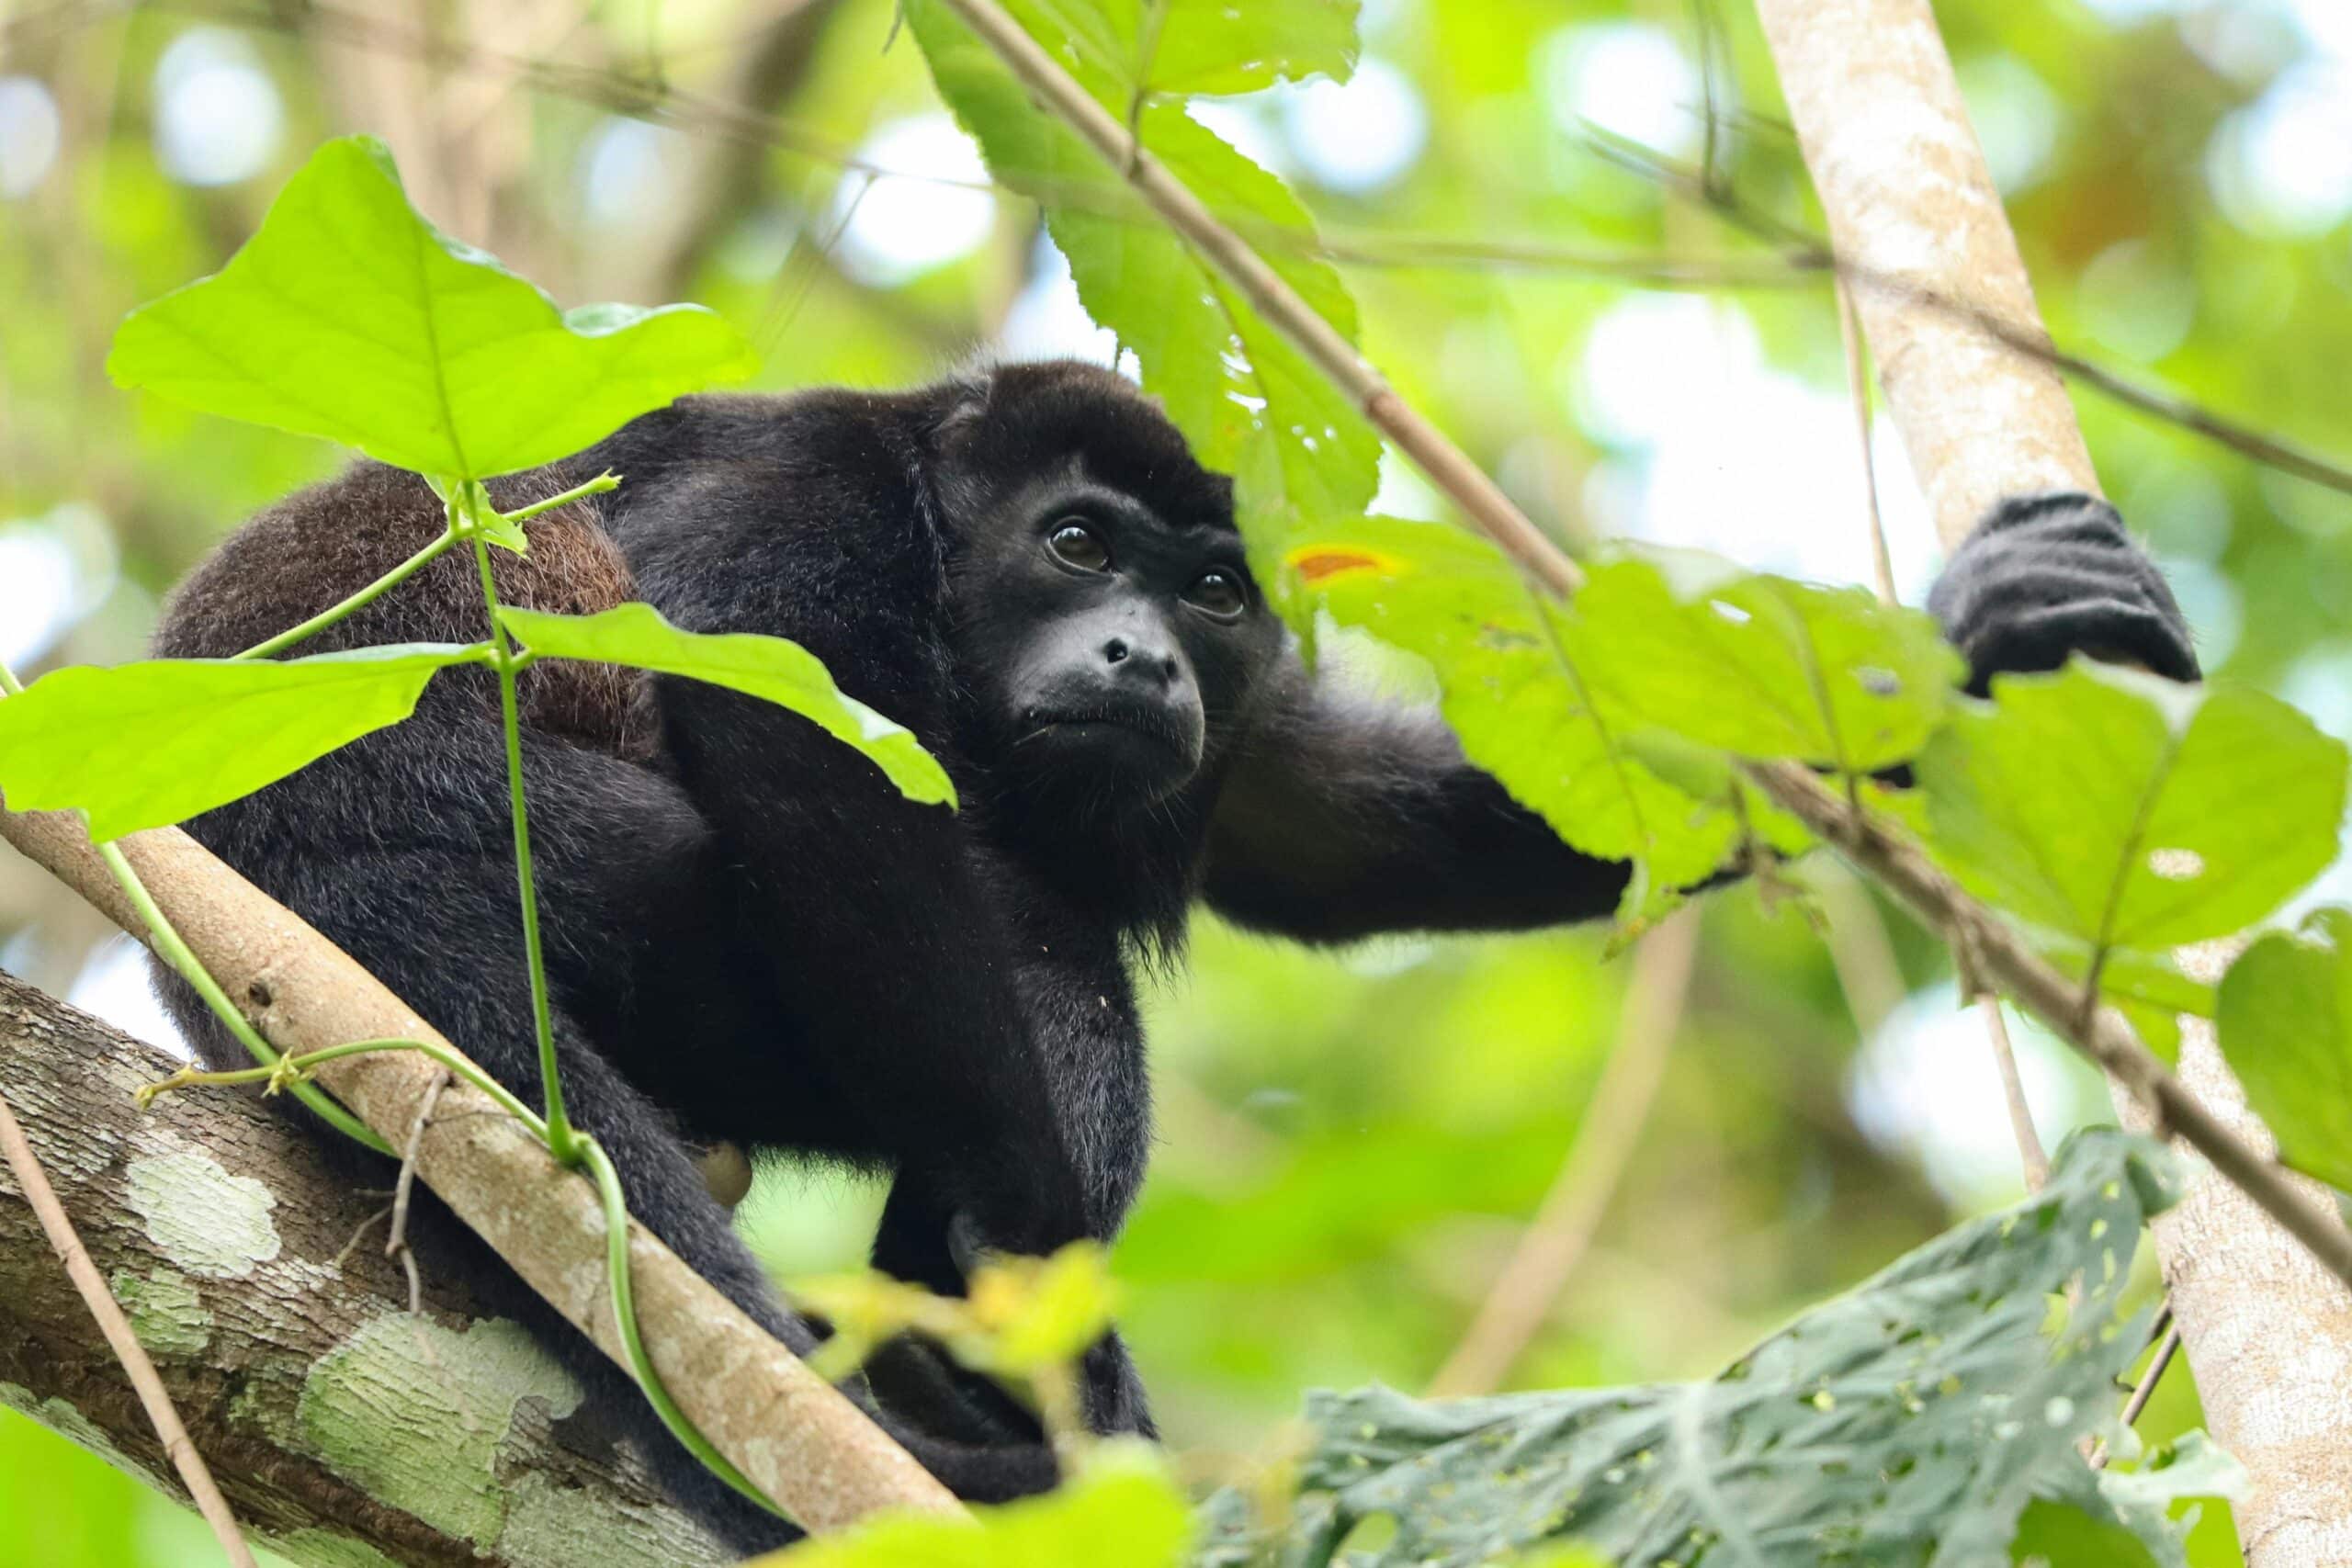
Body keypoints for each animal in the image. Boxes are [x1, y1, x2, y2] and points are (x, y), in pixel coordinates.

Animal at [147, 359, 2196, 1551]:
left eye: (1209, 590)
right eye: (1077, 547)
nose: (1141, 654)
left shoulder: (1241, 722)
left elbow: (1328, 829)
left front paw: (1965, 653)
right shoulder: (800, 491)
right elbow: (791, 741)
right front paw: (1046, 1305)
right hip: (510, 855)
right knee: (1030, 950)